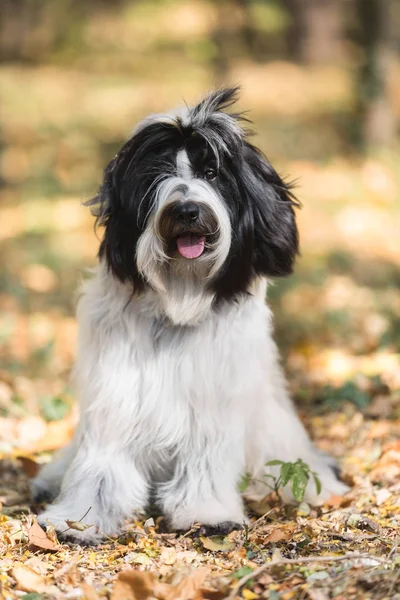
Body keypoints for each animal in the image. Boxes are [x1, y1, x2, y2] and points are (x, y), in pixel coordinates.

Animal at [32, 89, 346, 544]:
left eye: (212, 172)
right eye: (157, 174)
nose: (186, 210)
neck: (178, 304)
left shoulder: (212, 403)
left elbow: (205, 462)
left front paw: (206, 513)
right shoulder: (116, 395)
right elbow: (101, 466)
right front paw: (80, 518)